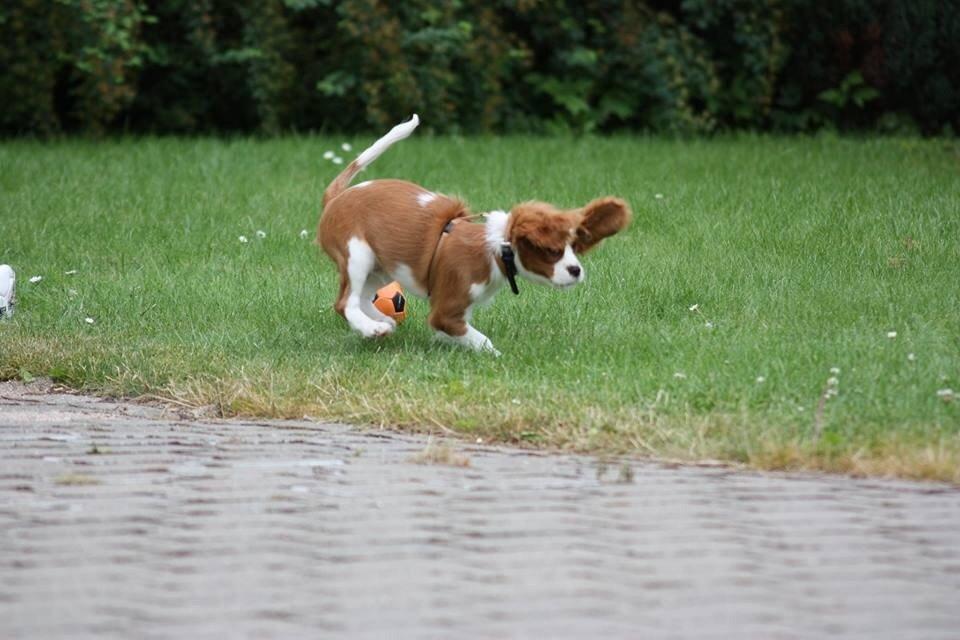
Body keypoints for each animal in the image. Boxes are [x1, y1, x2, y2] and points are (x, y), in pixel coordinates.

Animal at [316, 115, 632, 356]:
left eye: (574, 247)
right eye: (552, 251)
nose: (576, 270)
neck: (496, 249)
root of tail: (336, 198)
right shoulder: (446, 311)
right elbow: (479, 339)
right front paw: (497, 357)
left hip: (380, 267)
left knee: (362, 299)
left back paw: (382, 322)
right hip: (356, 254)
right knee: (345, 303)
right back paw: (373, 328)